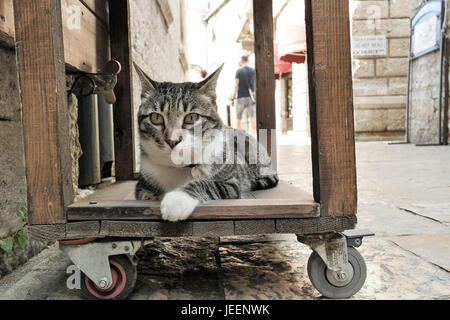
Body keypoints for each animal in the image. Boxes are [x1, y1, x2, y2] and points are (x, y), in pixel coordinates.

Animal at [133, 63, 278, 221]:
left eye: (191, 117)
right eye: (156, 118)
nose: (172, 141)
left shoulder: (232, 183)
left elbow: (207, 184)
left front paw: (177, 199)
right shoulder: (141, 185)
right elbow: (145, 193)